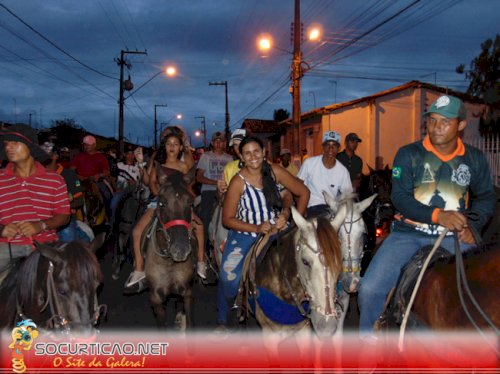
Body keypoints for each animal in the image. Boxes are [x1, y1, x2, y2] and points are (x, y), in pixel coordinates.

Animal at [144, 167, 196, 330]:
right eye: (162, 203)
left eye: (190, 203)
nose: (180, 249)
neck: (169, 262)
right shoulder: (156, 299)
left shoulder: (187, 292)